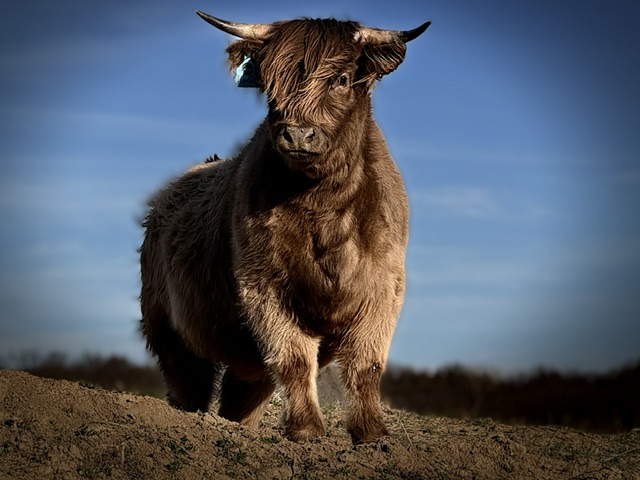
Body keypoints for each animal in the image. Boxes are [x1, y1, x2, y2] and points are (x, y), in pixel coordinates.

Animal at [139, 10, 430, 443]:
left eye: (342, 79)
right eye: (271, 82)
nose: (297, 134)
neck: (325, 210)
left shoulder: (384, 287)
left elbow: (366, 364)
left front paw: (372, 433)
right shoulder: (263, 286)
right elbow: (293, 358)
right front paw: (307, 430)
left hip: (244, 364)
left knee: (243, 395)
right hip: (168, 332)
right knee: (189, 384)